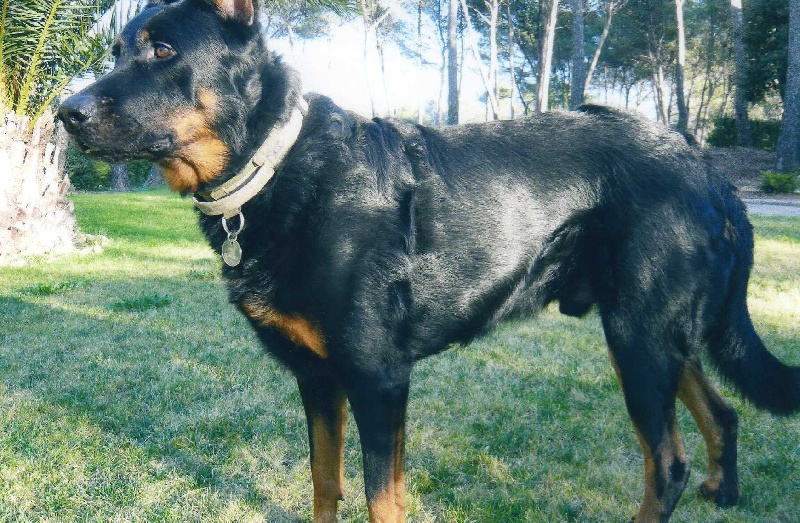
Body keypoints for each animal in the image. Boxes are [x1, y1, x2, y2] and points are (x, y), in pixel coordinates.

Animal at [58, 0, 800, 521]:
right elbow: (325, 482)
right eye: (117, 48)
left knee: (665, 464)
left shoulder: (378, 377)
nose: (66, 112)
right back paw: (724, 491)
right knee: (722, 414)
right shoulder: (320, 378)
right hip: (657, 333)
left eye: (163, 50)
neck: (276, 166)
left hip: (640, 338)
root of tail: (708, 171)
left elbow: (380, 497)